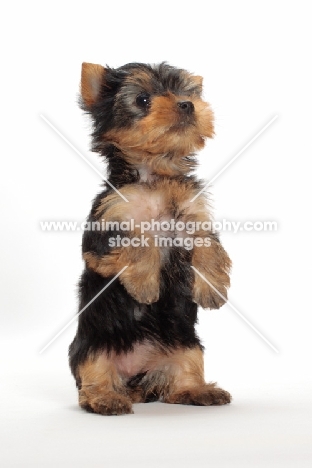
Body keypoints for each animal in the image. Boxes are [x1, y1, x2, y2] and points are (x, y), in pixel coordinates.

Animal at [69, 60, 232, 414]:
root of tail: (135, 381)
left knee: (183, 372)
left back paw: (196, 391)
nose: (187, 105)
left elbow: (208, 244)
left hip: (185, 344)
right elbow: (138, 239)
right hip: (92, 345)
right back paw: (105, 399)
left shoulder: (194, 213)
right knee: (93, 372)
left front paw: (212, 287)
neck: (156, 172)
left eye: (188, 93)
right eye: (143, 100)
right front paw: (145, 285)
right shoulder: (105, 228)